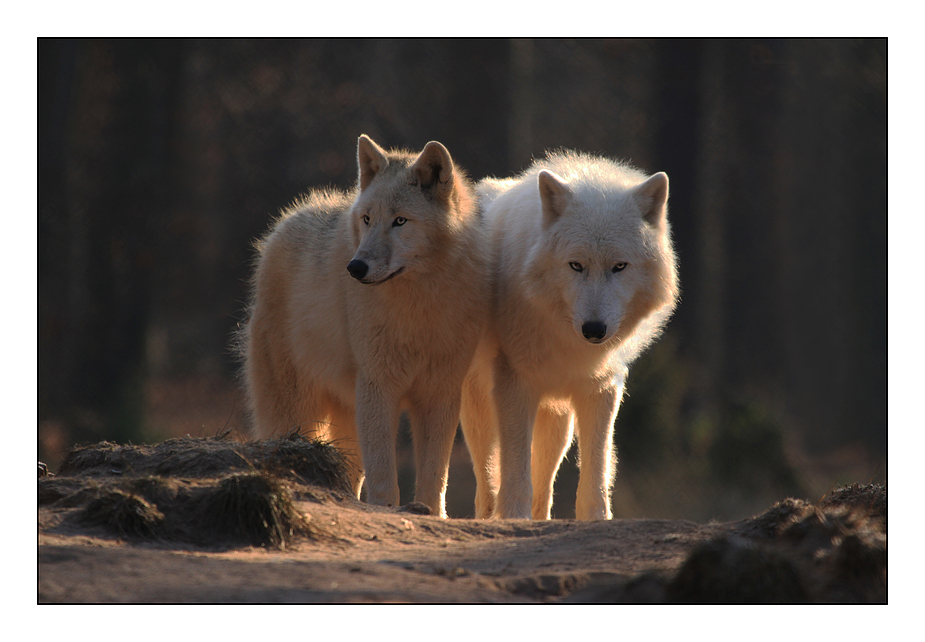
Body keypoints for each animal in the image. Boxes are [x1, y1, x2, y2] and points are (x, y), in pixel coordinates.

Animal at [244, 134, 490, 516]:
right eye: (367, 219)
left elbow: (435, 473)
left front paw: (430, 513)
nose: (355, 267)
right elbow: (384, 474)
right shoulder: (379, 387)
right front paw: (388, 510)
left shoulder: (440, 393)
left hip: (347, 412)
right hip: (297, 411)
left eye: (400, 221)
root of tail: (285, 223)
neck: (419, 308)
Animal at [462, 151, 680, 520]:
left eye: (619, 267)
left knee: (544, 483)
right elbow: (515, 469)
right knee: (487, 481)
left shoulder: (601, 387)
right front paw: (514, 516)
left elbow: (596, 469)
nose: (594, 329)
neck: (567, 340)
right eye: (575, 265)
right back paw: (490, 515)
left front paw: (596, 518)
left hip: (557, 422)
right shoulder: (515, 385)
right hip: (480, 409)